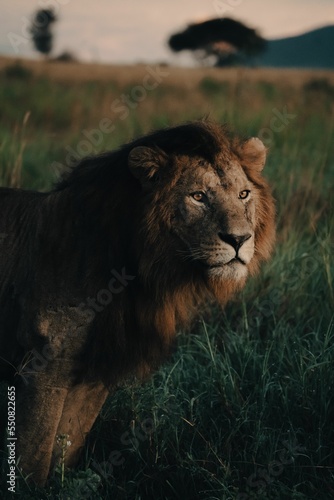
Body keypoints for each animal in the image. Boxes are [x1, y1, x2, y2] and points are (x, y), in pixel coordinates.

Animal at [0, 121, 276, 484]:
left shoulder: (98, 368)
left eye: (244, 194)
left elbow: (65, 449)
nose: (240, 239)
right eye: (198, 196)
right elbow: (34, 458)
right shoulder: (45, 361)